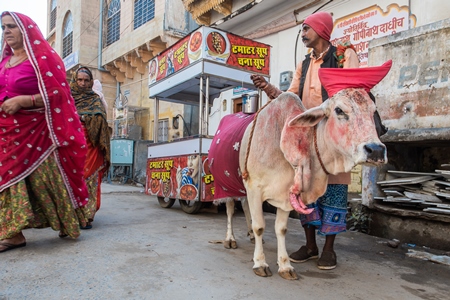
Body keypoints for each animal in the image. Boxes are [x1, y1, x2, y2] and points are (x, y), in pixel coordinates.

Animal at [209, 61, 392, 282]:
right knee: (229, 209)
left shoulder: (284, 194)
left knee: (244, 207)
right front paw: (260, 263)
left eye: (373, 110)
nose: (376, 150)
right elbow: (260, 226)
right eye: (339, 110)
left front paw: (285, 265)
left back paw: (250, 235)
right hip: (225, 184)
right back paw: (230, 239)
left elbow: (281, 229)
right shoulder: (255, 187)